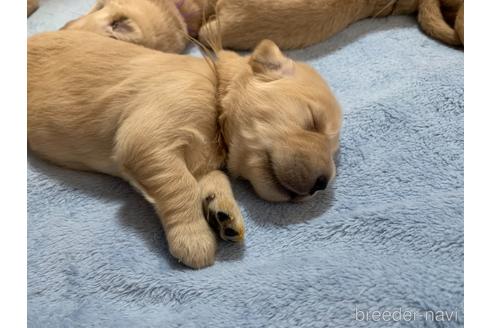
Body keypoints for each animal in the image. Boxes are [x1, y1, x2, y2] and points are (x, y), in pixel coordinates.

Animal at [27, 31, 342, 270]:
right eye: (313, 122)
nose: (321, 185)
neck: (216, 89)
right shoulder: (147, 136)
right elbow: (182, 186)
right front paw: (194, 239)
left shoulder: (203, 160)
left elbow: (214, 179)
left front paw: (224, 212)